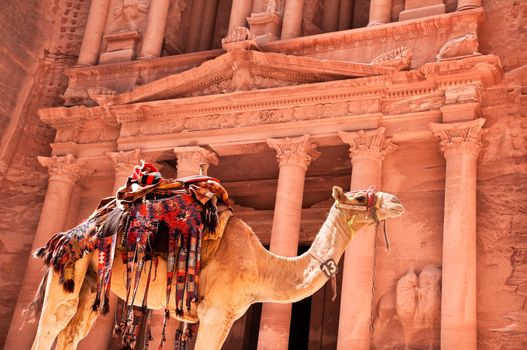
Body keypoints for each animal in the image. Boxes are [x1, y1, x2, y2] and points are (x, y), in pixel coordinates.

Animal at [31, 185, 406, 348]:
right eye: (359, 197)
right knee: (50, 326)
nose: (396, 201)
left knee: (70, 334)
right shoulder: (215, 312)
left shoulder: (226, 316)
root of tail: (64, 235)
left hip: (92, 287)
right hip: (68, 272)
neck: (263, 265)